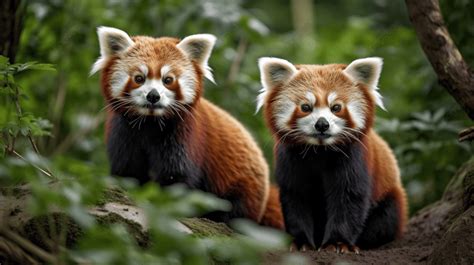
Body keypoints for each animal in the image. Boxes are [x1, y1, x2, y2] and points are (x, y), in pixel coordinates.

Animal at [92, 26, 284, 227]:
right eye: (139, 78)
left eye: (168, 80)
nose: (153, 96)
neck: (150, 124)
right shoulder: (124, 133)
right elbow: (128, 170)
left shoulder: (184, 136)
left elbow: (177, 177)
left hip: (243, 186)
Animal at [258, 56, 410, 251]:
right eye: (306, 107)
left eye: (336, 107)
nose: (322, 124)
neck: (320, 150)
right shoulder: (290, 159)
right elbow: (296, 198)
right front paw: (300, 241)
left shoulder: (354, 158)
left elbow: (348, 199)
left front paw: (338, 243)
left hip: (390, 197)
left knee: (385, 219)